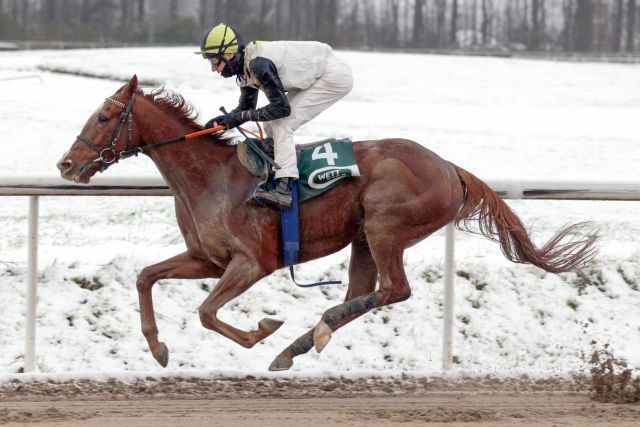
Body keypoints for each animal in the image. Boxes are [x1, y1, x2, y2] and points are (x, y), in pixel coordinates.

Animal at [57, 76, 596, 372]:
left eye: (104, 117)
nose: (66, 165)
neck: (210, 176)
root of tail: (450, 168)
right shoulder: (206, 259)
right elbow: (145, 276)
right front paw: (157, 348)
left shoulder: (253, 263)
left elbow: (208, 313)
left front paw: (262, 329)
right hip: (362, 239)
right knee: (364, 293)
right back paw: (301, 343)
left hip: (384, 226)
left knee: (392, 290)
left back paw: (301, 338)